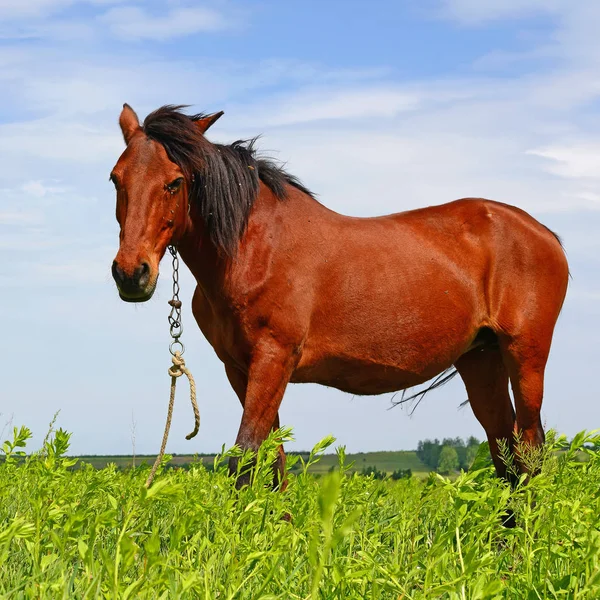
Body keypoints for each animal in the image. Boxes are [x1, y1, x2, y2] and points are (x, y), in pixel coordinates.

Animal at [111, 104, 568, 492]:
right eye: (116, 178)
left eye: (175, 182)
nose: (131, 274)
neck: (255, 248)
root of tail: (545, 234)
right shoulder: (240, 369)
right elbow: (273, 462)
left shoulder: (274, 359)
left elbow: (246, 458)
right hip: (480, 359)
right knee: (506, 457)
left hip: (525, 357)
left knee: (530, 451)